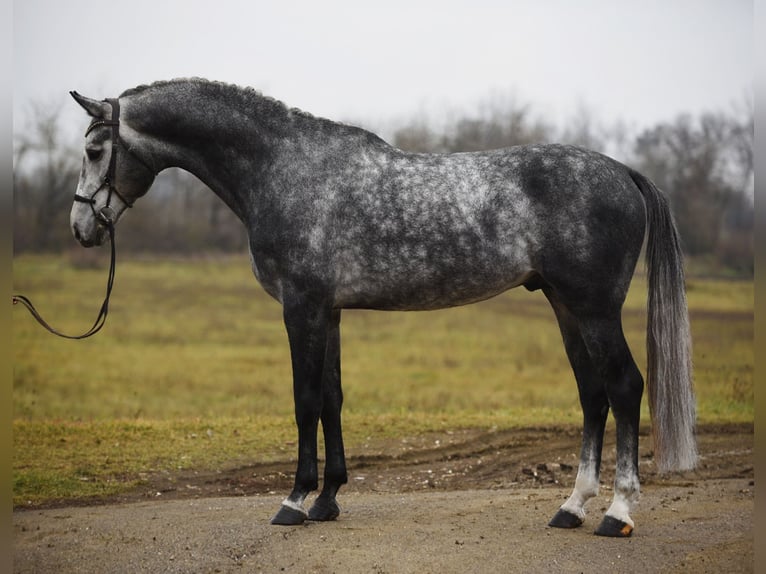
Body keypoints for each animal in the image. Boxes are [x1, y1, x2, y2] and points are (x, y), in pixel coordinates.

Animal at [69, 77, 700, 540]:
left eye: (95, 150)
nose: (81, 228)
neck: (284, 170)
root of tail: (622, 172)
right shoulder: (330, 311)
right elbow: (332, 398)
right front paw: (327, 499)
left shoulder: (302, 308)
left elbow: (304, 401)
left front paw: (293, 501)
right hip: (565, 307)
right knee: (593, 395)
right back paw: (571, 508)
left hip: (594, 310)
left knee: (624, 386)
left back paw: (617, 514)